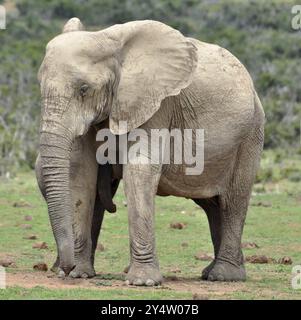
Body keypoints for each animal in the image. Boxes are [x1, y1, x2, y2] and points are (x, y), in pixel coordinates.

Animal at [36, 18, 264, 284]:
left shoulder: (157, 103)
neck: (107, 40)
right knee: (212, 206)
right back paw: (212, 273)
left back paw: (224, 276)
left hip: (250, 135)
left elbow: (139, 169)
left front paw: (142, 282)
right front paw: (80, 275)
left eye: (84, 89)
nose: (65, 268)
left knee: (233, 201)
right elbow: (81, 172)